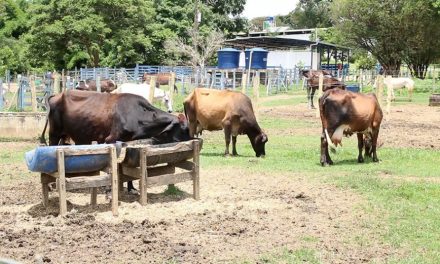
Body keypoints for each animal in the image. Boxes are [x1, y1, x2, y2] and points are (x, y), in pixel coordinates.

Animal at [40, 89, 191, 191]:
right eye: (184, 128)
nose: (193, 138)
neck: (137, 113)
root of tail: (58, 94)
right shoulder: (110, 140)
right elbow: (113, 166)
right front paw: (110, 189)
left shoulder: (125, 142)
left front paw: (130, 188)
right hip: (54, 133)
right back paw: (51, 185)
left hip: (65, 135)